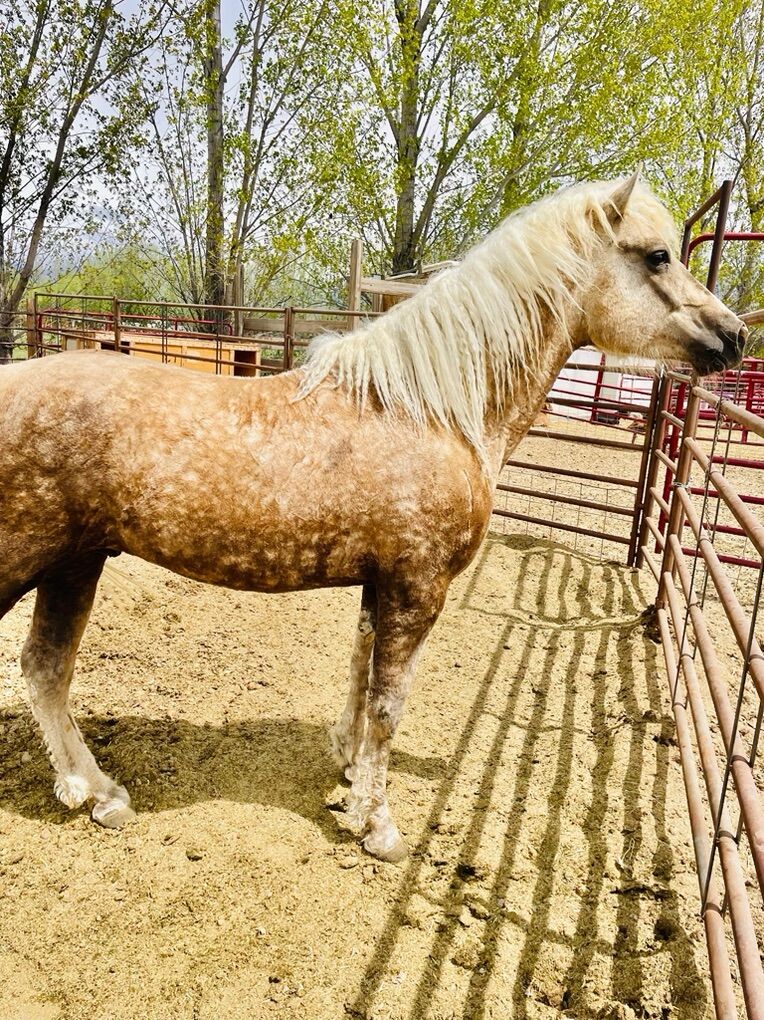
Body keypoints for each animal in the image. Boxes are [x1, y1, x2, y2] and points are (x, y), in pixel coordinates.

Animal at [0, 174, 746, 862]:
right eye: (657, 256)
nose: (735, 336)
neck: (432, 409)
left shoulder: (380, 583)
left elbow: (360, 679)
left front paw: (351, 774)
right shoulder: (419, 588)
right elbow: (388, 705)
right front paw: (380, 827)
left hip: (75, 564)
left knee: (44, 669)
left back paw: (95, 791)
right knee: (45, 670)